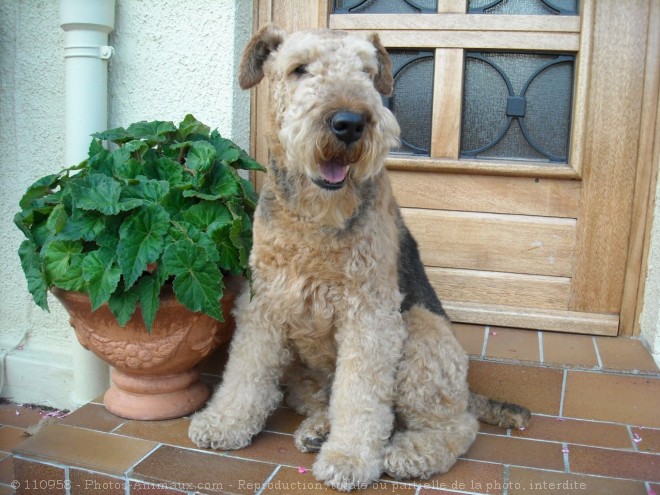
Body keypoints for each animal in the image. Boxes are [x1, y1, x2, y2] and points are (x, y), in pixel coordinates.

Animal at [187, 26, 532, 492]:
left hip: (420, 330)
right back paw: (318, 430)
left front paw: (349, 459)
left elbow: (362, 396)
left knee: (457, 425)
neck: (316, 219)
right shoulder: (265, 303)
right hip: (307, 371)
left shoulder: (370, 314)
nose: (349, 123)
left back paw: (407, 453)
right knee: (324, 398)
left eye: (368, 72)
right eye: (299, 69)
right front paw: (223, 423)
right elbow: (245, 370)